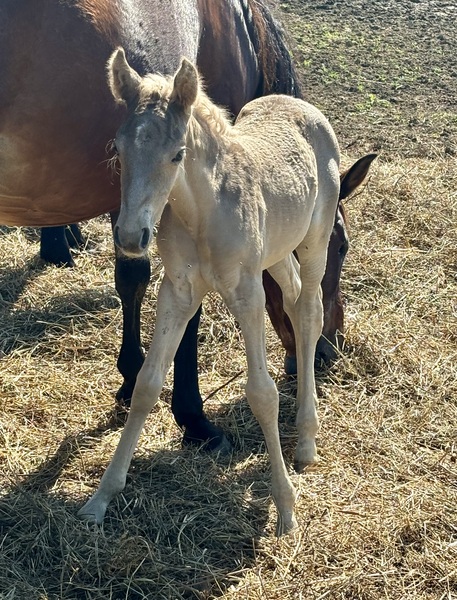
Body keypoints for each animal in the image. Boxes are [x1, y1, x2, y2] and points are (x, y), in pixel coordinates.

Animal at [80, 48, 340, 536]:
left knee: (309, 308)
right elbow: (146, 384)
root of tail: (300, 105)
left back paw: (306, 441)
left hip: (314, 240)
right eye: (119, 149)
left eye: (177, 154)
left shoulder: (247, 292)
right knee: (295, 297)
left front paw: (286, 509)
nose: (130, 237)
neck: (203, 212)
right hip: (275, 251)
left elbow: (262, 393)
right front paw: (101, 497)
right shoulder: (177, 290)